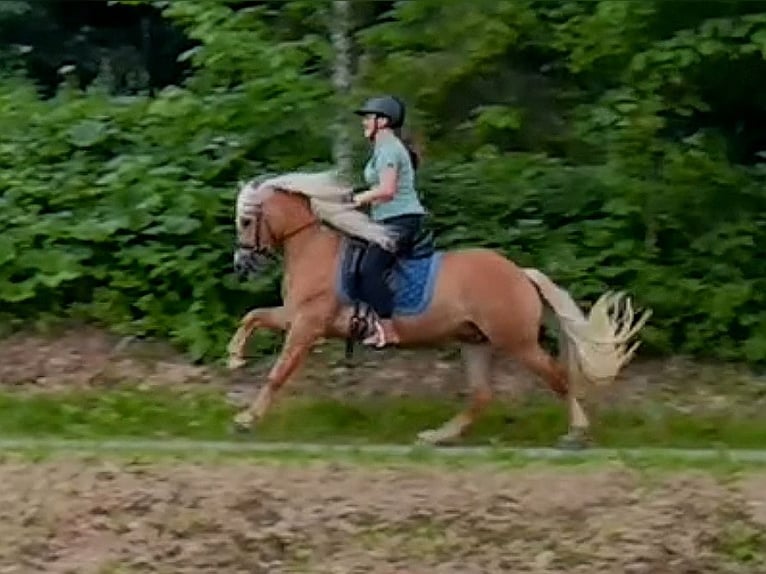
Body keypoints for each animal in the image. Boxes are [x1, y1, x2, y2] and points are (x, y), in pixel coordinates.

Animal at [228, 171, 651, 448]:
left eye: (247, 220)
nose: (241, 264)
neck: (313, 250)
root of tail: (521, 274)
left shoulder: (308, 323)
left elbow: (279, 372)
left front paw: (246, 419)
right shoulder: (295, 316)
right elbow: (254, 316)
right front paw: (234, 357)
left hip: (516, 342)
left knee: (558, 379)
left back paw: (576, 433)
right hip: (475, 342)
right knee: (482, 395)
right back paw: (438, 435)